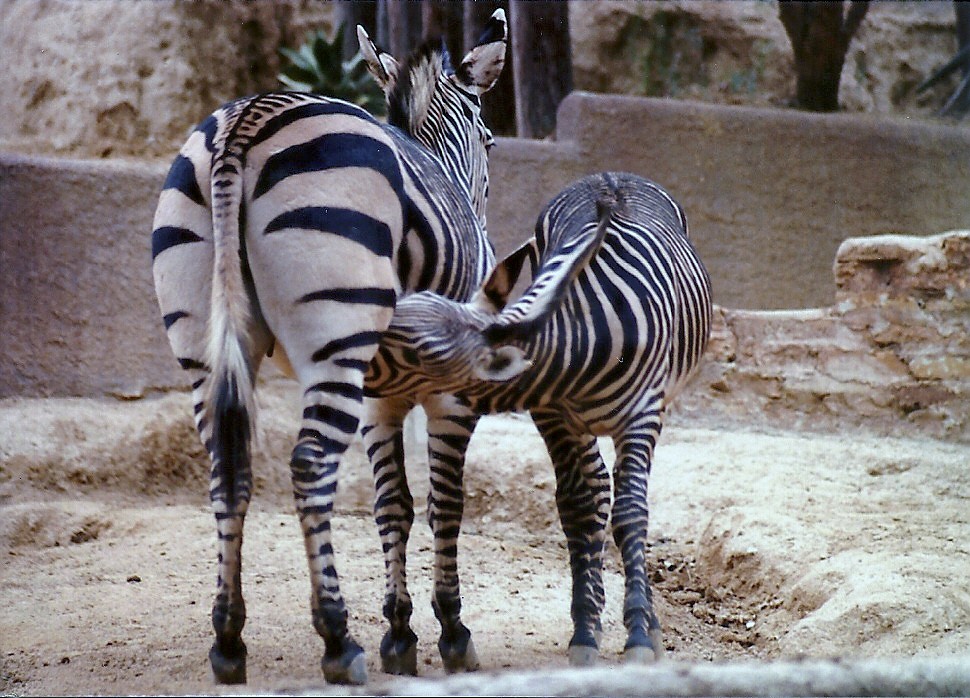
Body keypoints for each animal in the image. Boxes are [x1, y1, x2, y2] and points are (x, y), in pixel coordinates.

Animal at [150, 12, 507, 686]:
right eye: (493, 142)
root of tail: (246, 120)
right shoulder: (452, 388)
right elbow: (445, 504)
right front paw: (451, 632)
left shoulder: (379, 395)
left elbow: (394, 505)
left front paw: (401, 633)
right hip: (335, 339)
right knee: (310, 464)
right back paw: (338, 640)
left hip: (204, 341)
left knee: (226, 466)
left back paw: (229, 641)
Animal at [365, 171, 713, 666]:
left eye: (416, 351)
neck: (583, 344)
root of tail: (611, 174)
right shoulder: (552, 417)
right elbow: (578, 508)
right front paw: (586, 630)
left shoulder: (641, 415)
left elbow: (631, 513)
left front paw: (639, 634)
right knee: (594, 490)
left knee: (622, 498)